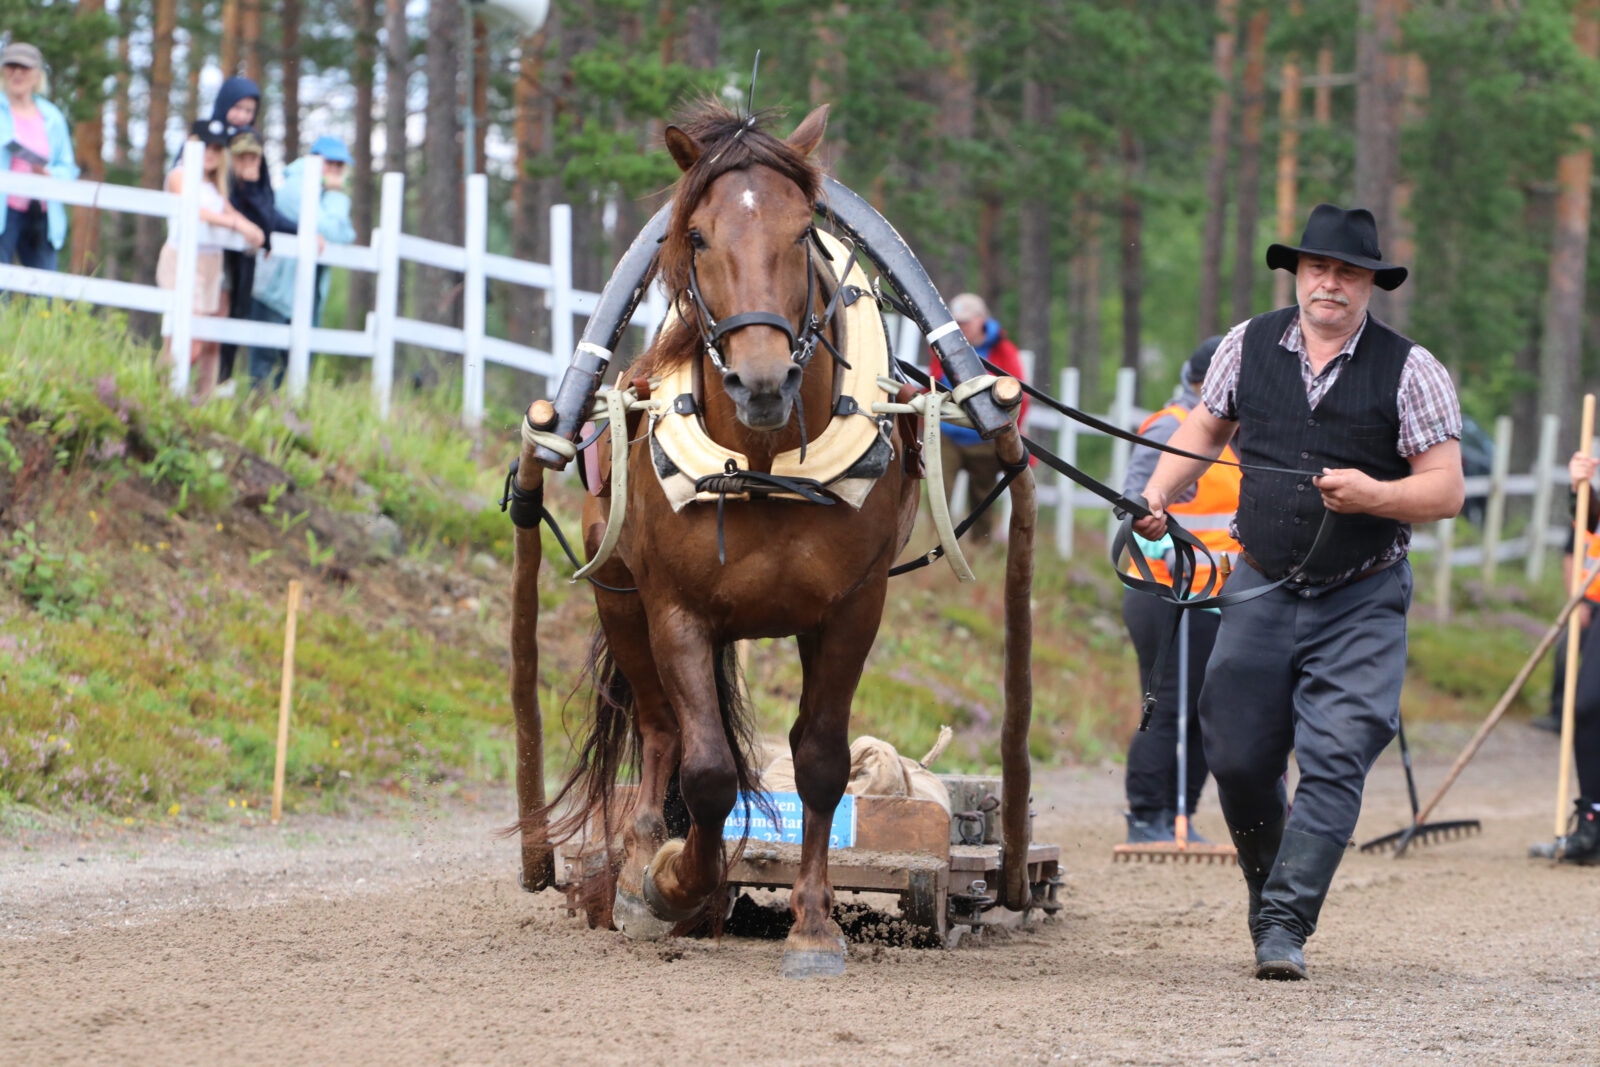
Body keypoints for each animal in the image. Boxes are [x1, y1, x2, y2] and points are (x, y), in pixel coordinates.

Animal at [540, 103, 915, 979]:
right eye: (700, 236)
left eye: (804, 228)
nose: (762, 380)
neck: (767, 465)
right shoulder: (678, 609)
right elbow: (707, 769)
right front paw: (670, 882)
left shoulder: (851, 608)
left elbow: (821, 762)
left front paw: (814, 924)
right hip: (621, 603)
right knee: (661, 731)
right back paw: (644, 855)